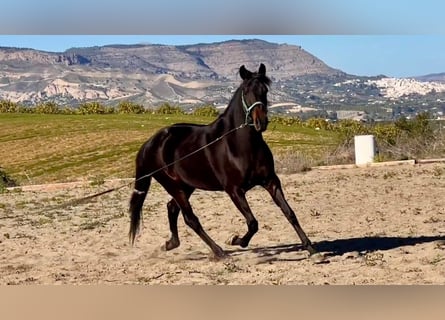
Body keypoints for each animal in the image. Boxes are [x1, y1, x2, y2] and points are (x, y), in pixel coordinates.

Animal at [128, 63, 316, 258]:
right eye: (246, 91)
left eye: (265, 90)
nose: (261, 122)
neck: (240, 146)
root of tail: (150, 144)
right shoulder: (234, 190)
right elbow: (253, 223)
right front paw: (236, 240)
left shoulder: (271, 181)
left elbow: (289, 213)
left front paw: (309, 247)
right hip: (173, 186)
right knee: (190, 218)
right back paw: (219, 251)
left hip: (186, 185)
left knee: (172, 208)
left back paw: (171, 244)